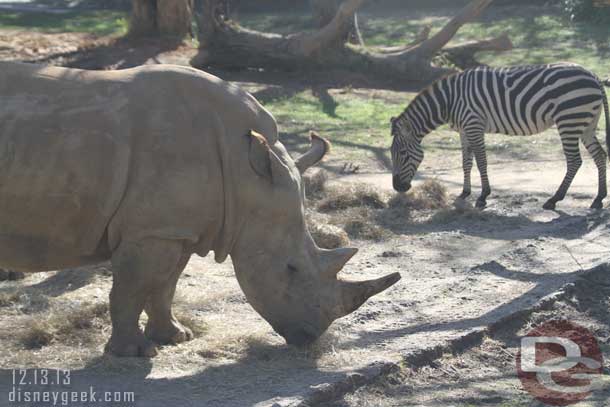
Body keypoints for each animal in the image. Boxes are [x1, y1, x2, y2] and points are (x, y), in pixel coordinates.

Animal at [0, 61, 400, 356]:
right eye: (291, 269)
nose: (311, 336)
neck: (245, 177)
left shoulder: (177, 229)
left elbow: (164, 285)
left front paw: (175, 337)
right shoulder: (151, 231)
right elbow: (131, 288)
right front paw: (133, 353)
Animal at [390, 63, 608, 210]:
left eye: (402, 153)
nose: (397, 187)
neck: (449, 101)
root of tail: (593, 75)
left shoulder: (474, 125)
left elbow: (481, 162)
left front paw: (483, 196)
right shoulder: (464, 130)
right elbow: (466, 162)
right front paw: (464, 193)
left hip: (569, 120)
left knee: (574, 160)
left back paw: (554, 199)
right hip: (586, 124)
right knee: (600, 155)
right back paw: (598, 198)